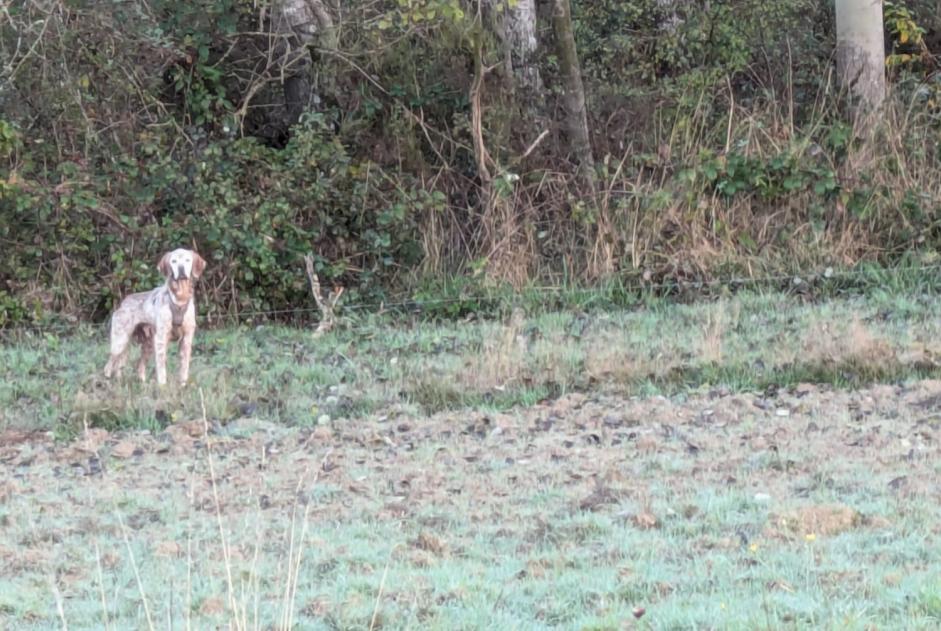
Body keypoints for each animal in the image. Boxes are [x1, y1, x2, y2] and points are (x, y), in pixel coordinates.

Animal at [106, 249, 209, 388]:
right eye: (174, 261)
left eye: (187, 260)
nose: (181, 269)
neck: (179, 299)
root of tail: (123, 303)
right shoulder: (161, 339)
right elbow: (161, 369)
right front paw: (162, 387)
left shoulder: (187, 340)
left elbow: (184, 369)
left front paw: (182, 386)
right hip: (120, 342)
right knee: (109, 366)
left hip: (147, 345)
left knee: (136, 366)